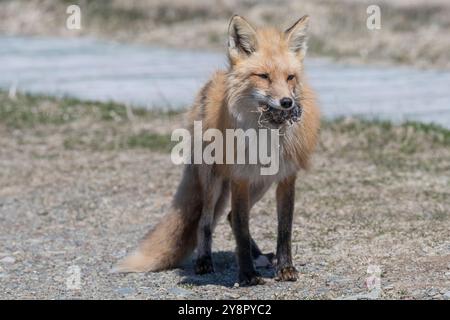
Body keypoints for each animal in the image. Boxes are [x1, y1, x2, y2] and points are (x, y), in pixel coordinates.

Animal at [115, 15, 320, 286]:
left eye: (290, 77)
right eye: (263, 76)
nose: (287, 102)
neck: (265, 133)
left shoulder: (286, 177)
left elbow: (284, 228)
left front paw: (285, 268)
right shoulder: (239, 177)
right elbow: (241, 229)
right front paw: (247, 275)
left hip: (261, 182)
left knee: (229, 216)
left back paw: (260, 257)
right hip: (214, 180)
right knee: (206, 220)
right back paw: (205, 261)